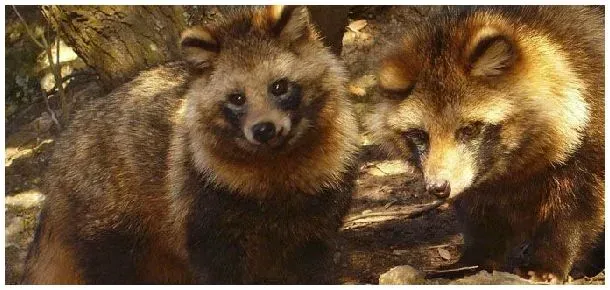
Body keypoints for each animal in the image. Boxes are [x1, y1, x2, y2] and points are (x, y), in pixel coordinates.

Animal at [21, 5, 358, 284]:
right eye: (237, 98)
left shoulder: (323, 201)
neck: (274, 158)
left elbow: (310, 264)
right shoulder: (203, 202)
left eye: (279, 87)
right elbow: (218, 269)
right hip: (105, 214)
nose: (263, 130)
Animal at [366, 5, 604, 284]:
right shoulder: (473, 177)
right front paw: (475, 258)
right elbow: (478, 209)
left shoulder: (592, 135)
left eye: (468, 129)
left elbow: (577, 207)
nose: (438, 188)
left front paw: (550, 258)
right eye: (420, 135)